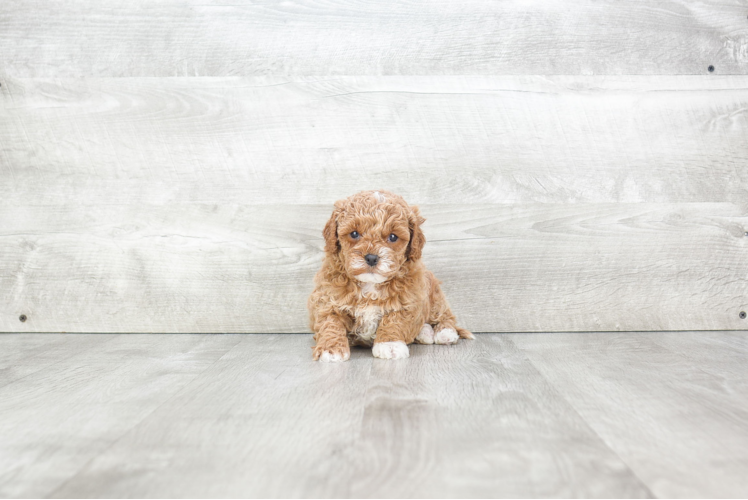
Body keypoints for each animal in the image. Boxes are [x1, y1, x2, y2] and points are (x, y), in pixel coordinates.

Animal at [308, 189, 474, 362]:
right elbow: (330, 323)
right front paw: (331, 349)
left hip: (434, 296)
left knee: (444, 315)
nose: (371, 257)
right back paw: (425, 332)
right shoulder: (327, 299)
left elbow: (395, 321)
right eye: (354, 234)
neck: (370, 285)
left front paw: (389, 345)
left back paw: (445, 333)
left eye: (393, 237)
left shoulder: (408, 299)